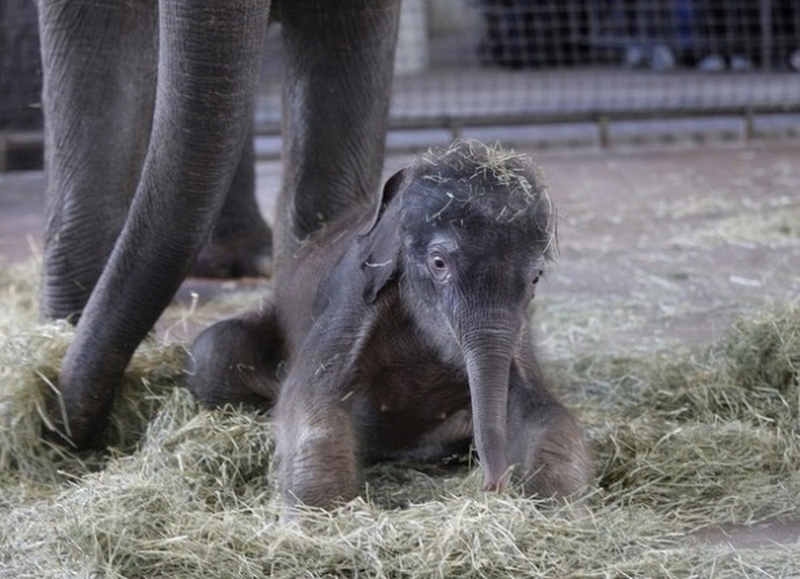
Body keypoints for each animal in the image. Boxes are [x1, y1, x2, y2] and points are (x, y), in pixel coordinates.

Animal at [188, 140, 588, 508]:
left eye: (536, 277)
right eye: (438, 263)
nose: (494, 485)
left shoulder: (519, 330)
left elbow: (542, 407)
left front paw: (559, 505)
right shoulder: (356, 292)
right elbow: (312, 396)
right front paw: (319, 514)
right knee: (213, 353)